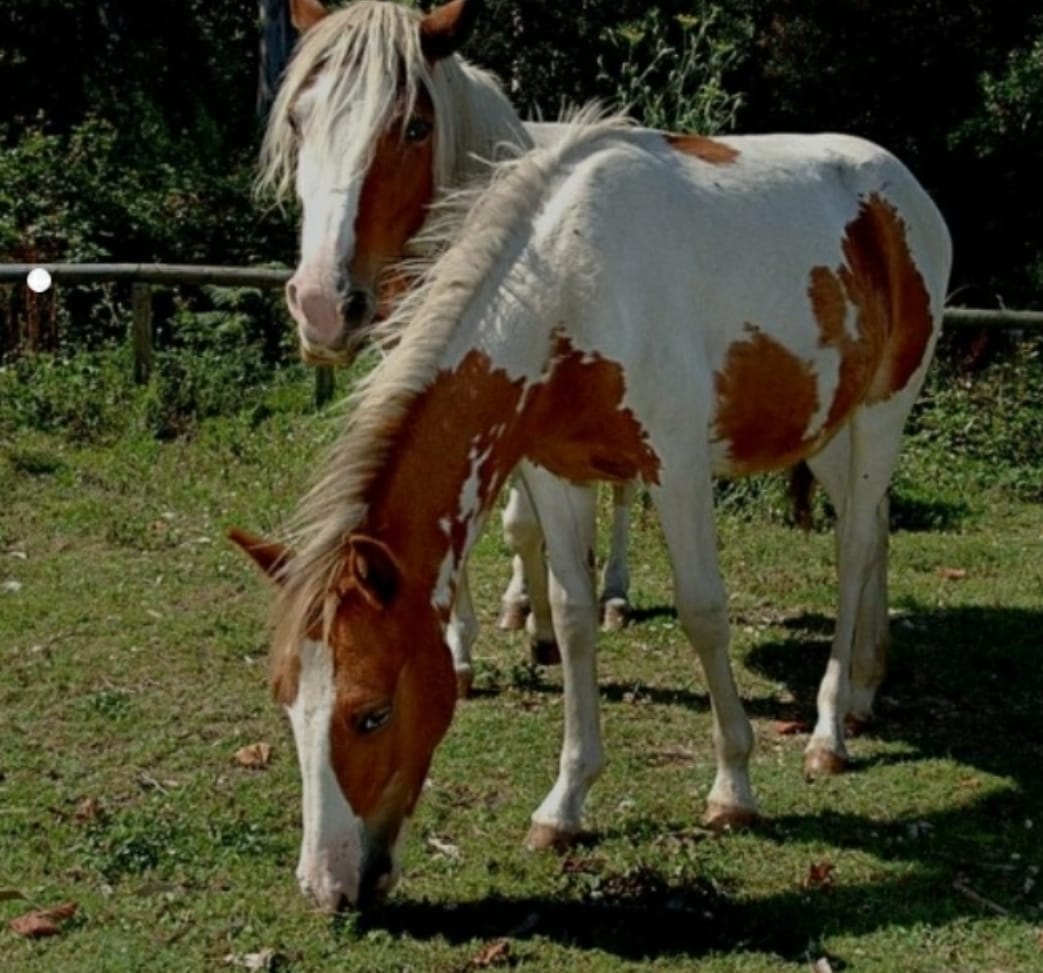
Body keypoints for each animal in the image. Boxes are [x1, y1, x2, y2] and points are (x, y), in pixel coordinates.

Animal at [230, 107, 953, 910]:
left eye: (371, 712)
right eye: (286, 700)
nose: (328, 886)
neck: (571, 288)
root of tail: (899, 187)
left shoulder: (678, 467)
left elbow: (703, 613)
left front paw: (732, 787)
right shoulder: (555, 471)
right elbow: (571, 616)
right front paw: (564, 803)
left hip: (884, 410)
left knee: (853, 550)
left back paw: (829, 730)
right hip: (830, 429)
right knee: (874, 530)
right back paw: (864, 687)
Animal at [260, 0, 639, 696]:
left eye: (414, 127)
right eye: (299, 119)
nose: (322, 305)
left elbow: (520, 523)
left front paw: (546, 632)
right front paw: (464, 647)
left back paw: (613, 592)